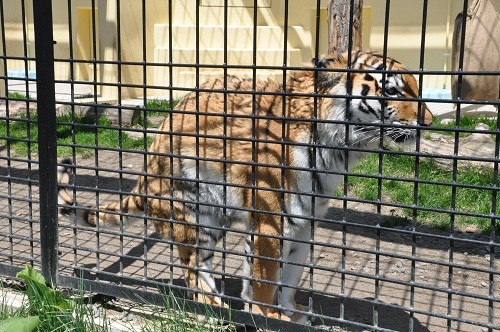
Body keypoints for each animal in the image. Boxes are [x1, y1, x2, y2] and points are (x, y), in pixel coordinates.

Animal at [58, 50, 432, 324]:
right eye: (392, 91)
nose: (428, 122)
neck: (339, 148)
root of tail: (147, 170)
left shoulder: (303, 225)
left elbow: (289, 278)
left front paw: (292, 313)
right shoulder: (270, 221)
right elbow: (266, 279)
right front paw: (267, 317)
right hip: (194, 218)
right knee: (193, 273)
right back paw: (213, 310)